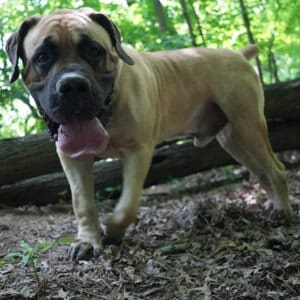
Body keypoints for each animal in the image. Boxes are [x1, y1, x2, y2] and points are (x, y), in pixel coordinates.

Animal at [5, 7, 290, 260]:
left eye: (94, 51)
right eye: (42, 57)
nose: (73, 85)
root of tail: (239, 54)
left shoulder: (138, 150)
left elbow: (128, 204)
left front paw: (112, 229)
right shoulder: (72, 159)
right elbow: (82, 202)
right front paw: (87, 240)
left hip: (248, 125)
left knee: (276, 169)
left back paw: (282, 210)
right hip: (234, 139)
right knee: (262, 171)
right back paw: (271, 204)